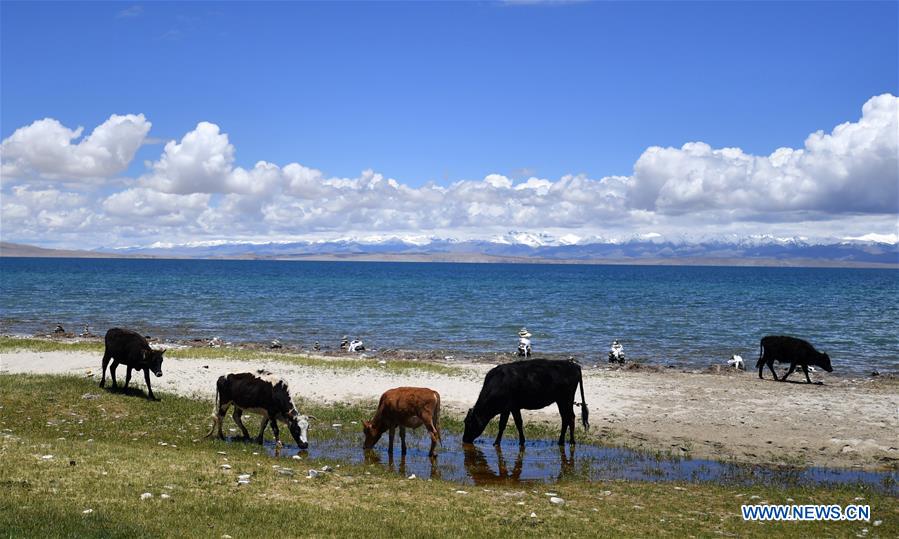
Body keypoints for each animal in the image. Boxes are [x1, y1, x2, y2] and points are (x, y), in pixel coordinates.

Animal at [464, 360, 592, 450]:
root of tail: (574, 365)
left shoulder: (512, 406)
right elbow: (505, 425)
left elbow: (515, 423)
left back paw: (572, 442)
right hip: (561, 400)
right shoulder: (507, 408)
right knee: (565, 418)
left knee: (570, 417)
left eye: (469, 422)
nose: (464, 440)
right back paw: (561, 441)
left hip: (566, 399)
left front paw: (501, 442)